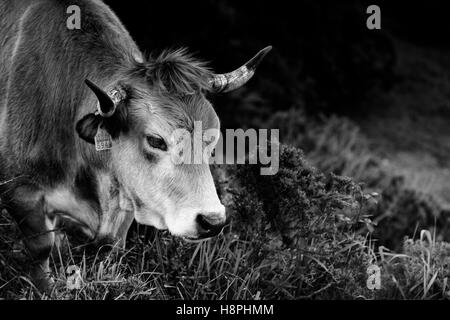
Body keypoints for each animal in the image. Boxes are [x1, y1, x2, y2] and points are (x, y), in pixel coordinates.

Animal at [0, 0, 268, 292]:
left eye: (212, 138)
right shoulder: (21, 192)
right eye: (156, 140)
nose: (212, 221)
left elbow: (109, 248)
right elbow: (41, 249)